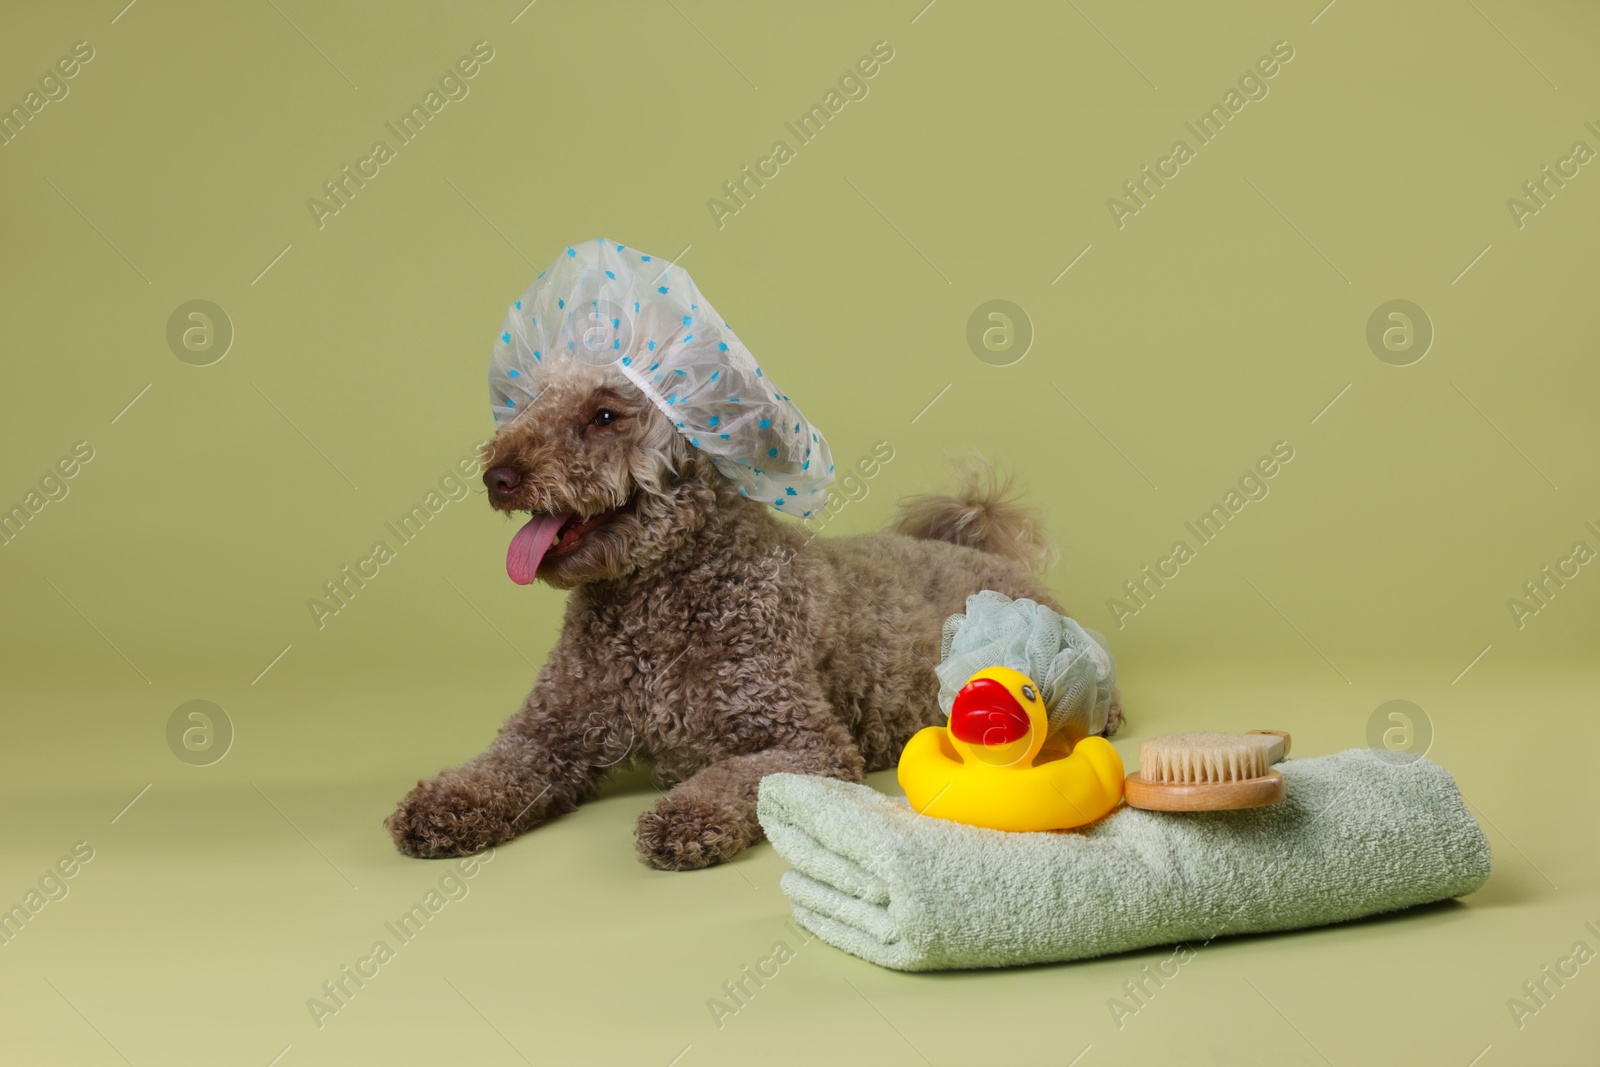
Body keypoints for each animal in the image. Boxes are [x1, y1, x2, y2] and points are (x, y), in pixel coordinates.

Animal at [380, 358, 1120, 870]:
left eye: (605, 416)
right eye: (530, 406)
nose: (498, 475)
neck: (655, 604)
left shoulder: (802, 741)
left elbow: (729, 779)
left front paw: (685, 818)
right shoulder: (549, 730)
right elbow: (496, 765)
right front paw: (444, 803)